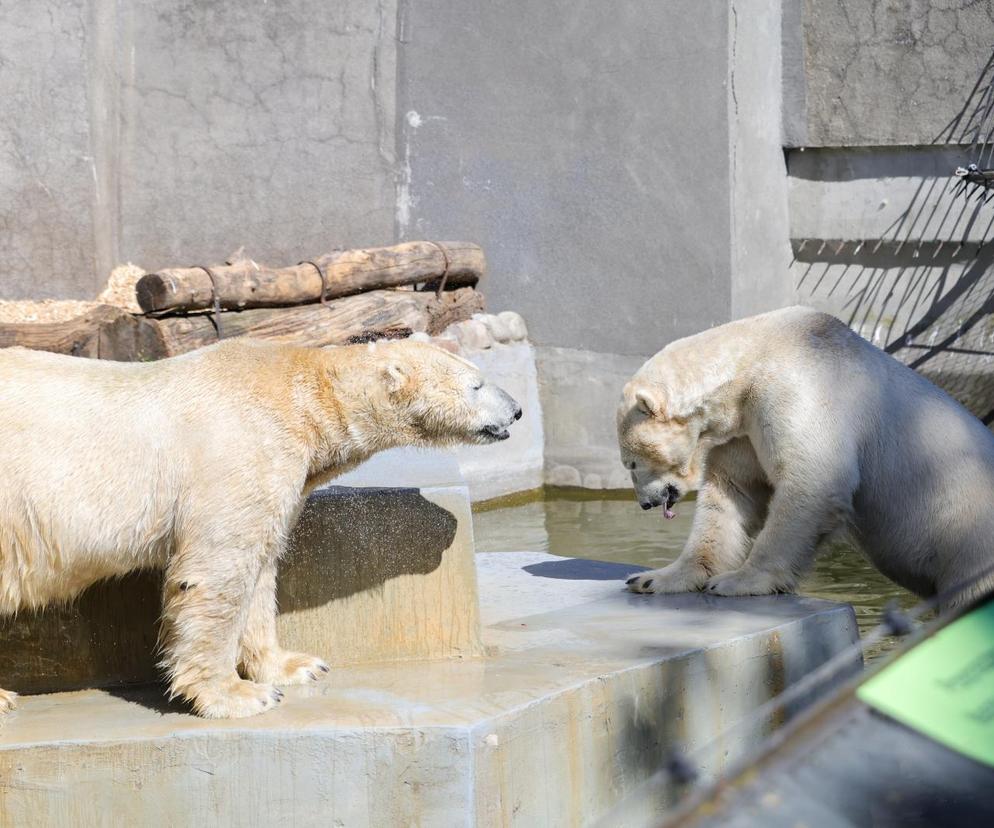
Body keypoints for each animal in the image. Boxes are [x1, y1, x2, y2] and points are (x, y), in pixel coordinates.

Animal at [0, 336, 524, 720]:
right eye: (478, 385)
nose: (517, 410)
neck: (298, 393)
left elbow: (260, 568)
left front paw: (295, 666)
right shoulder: (240, 450)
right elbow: (216, 572)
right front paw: (236, 696)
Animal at [616, 304, 992, 608]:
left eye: (631, 463)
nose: (645, 503)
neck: (753, 357)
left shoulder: (796, 390)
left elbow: (811, 479)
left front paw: (739, 581)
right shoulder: (743, 428)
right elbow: (733, 492)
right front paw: (653, 579)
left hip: (967, 537)